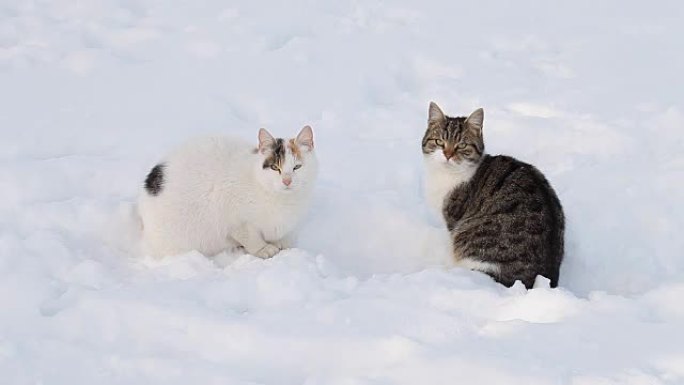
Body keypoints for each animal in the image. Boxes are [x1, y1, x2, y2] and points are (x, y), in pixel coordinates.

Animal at [140, 126, 320, 258]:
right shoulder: (235, 219)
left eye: (297, 167)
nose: (287, 181)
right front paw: (263, 249)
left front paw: (282, 244)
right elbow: (250, 236)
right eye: (275, 167)